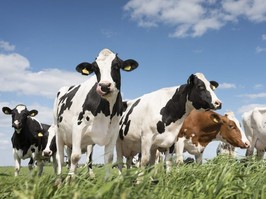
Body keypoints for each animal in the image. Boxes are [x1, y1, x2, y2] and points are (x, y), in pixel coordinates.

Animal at [53, 48, 138, 179]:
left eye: (116, 66)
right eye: (95, 68)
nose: (104, 86)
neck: (106, 111)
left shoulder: (113, 131)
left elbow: (108, 158)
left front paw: (107, 179)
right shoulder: (78, 126)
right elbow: (75, 156)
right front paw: (70, 180)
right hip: (59, 132)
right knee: (61, 158)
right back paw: (60, 177)